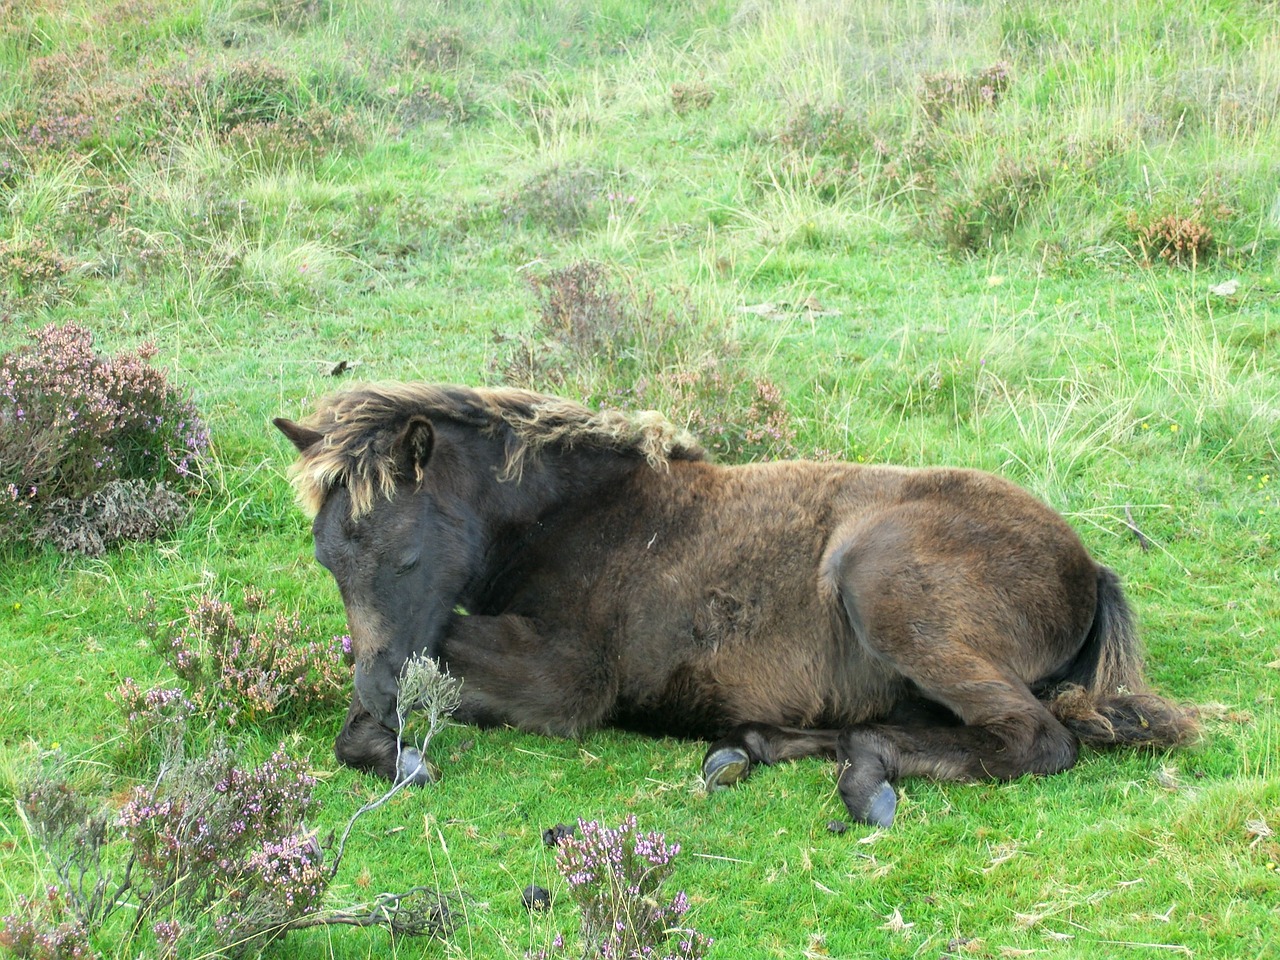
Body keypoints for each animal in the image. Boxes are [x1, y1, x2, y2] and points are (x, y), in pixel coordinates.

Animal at [275, 384, 1192, 829]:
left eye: (406, 556)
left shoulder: (567, 680)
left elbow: (432, 662)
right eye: (325, 560)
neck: (581, 517)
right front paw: (387, 740)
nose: (382, 702)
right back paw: (755, 748)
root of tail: (1087, 565)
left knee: (1033, 740)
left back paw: (861, 776)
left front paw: (393, 749)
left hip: (883, 589)